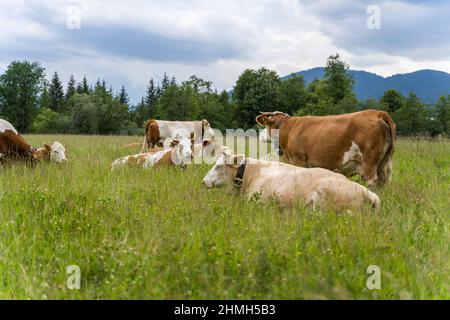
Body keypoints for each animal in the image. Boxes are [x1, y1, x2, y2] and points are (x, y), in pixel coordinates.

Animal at [255, 109, 396, 188]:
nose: (260, 135)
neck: (289, 129)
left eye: (266, 125)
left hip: (369, 161)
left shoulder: (298, 160)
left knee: (373, 181)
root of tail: (378, 113)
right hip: (385, 162)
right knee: (385, 180)